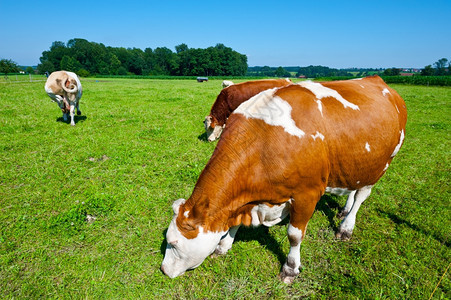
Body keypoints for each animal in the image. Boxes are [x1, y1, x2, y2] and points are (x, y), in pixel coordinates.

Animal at [163, 76, 410, 282]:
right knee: (353, 189)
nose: (164, 270)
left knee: (361, 196)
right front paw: (223, 245)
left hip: (382, 163)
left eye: (174, 243)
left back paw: (346, 226)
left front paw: (291, 268)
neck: (263, 145)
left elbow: (294, 235)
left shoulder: (307, 194)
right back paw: (344, 210)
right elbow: (234, 223)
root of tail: (377, 79)